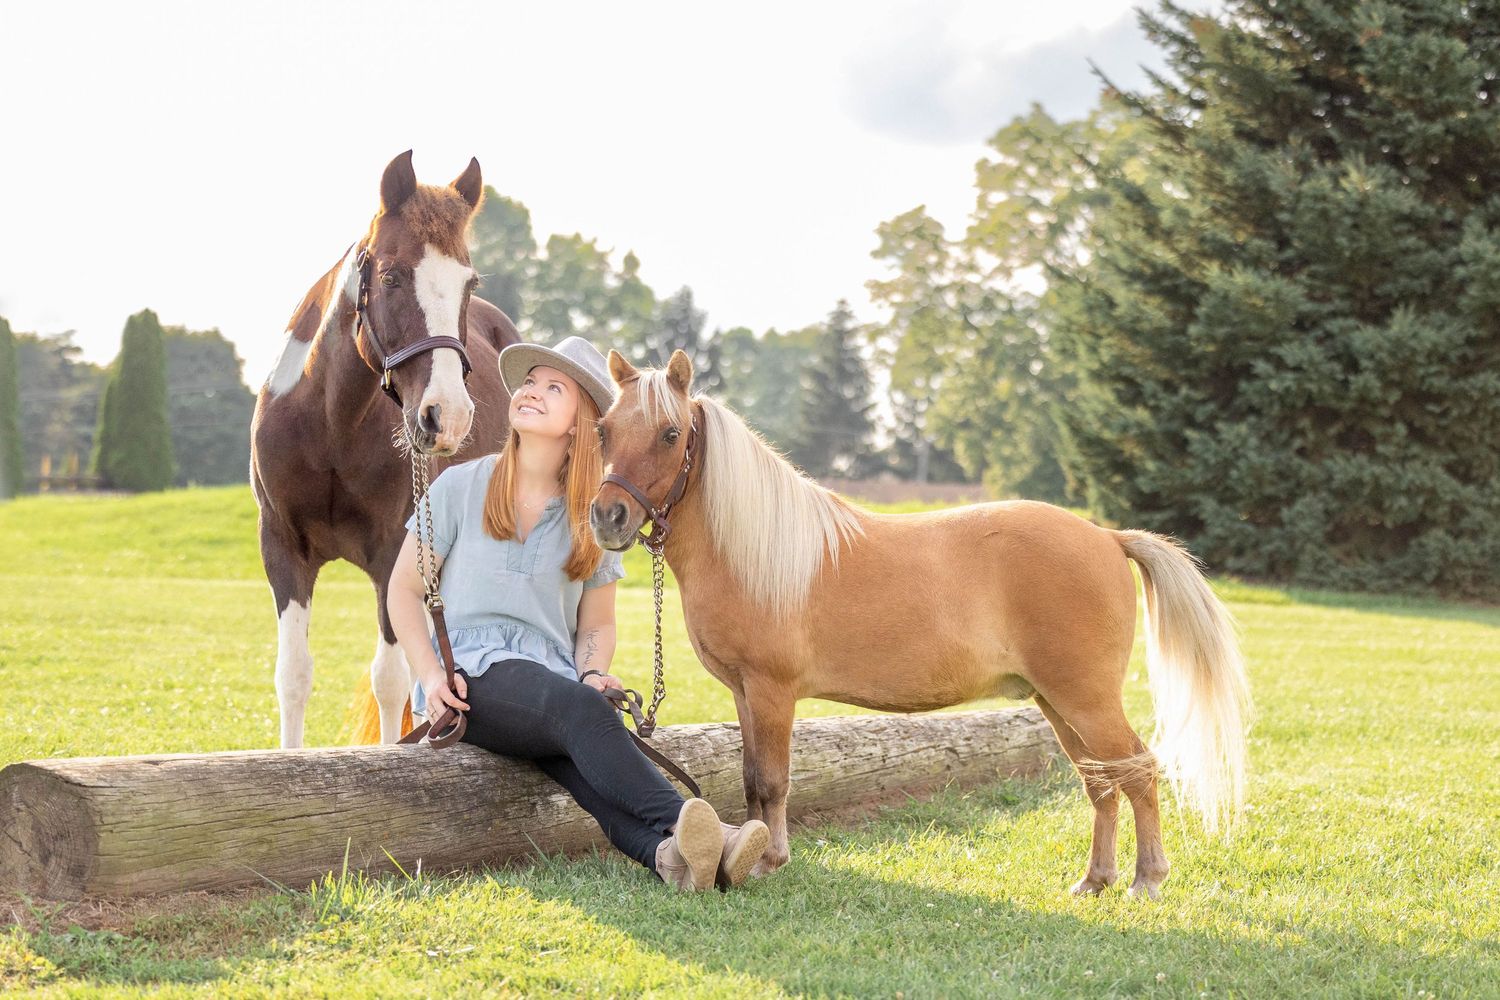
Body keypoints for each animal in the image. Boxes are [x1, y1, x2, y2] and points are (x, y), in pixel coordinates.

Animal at [251, 151, 521, 748]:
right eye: (392, 275)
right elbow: (293, 675)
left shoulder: (395, 552)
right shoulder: (282, 547)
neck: (331, 424)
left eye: (469, 283)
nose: (447, 415)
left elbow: (391, 682)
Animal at [587, 350, 1252, 898]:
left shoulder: (773, 692)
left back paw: (1147, 880)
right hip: (1059, 704)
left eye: (671, 434)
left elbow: (773, 782)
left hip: (1086, 701)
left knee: (1137, 770)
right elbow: (752, 781)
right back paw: (1094, 880)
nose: (607, 517)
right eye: (604, 430)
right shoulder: (745, 695)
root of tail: (1109, 537)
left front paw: (769, 859)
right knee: (1100, 782)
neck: (757, 551)